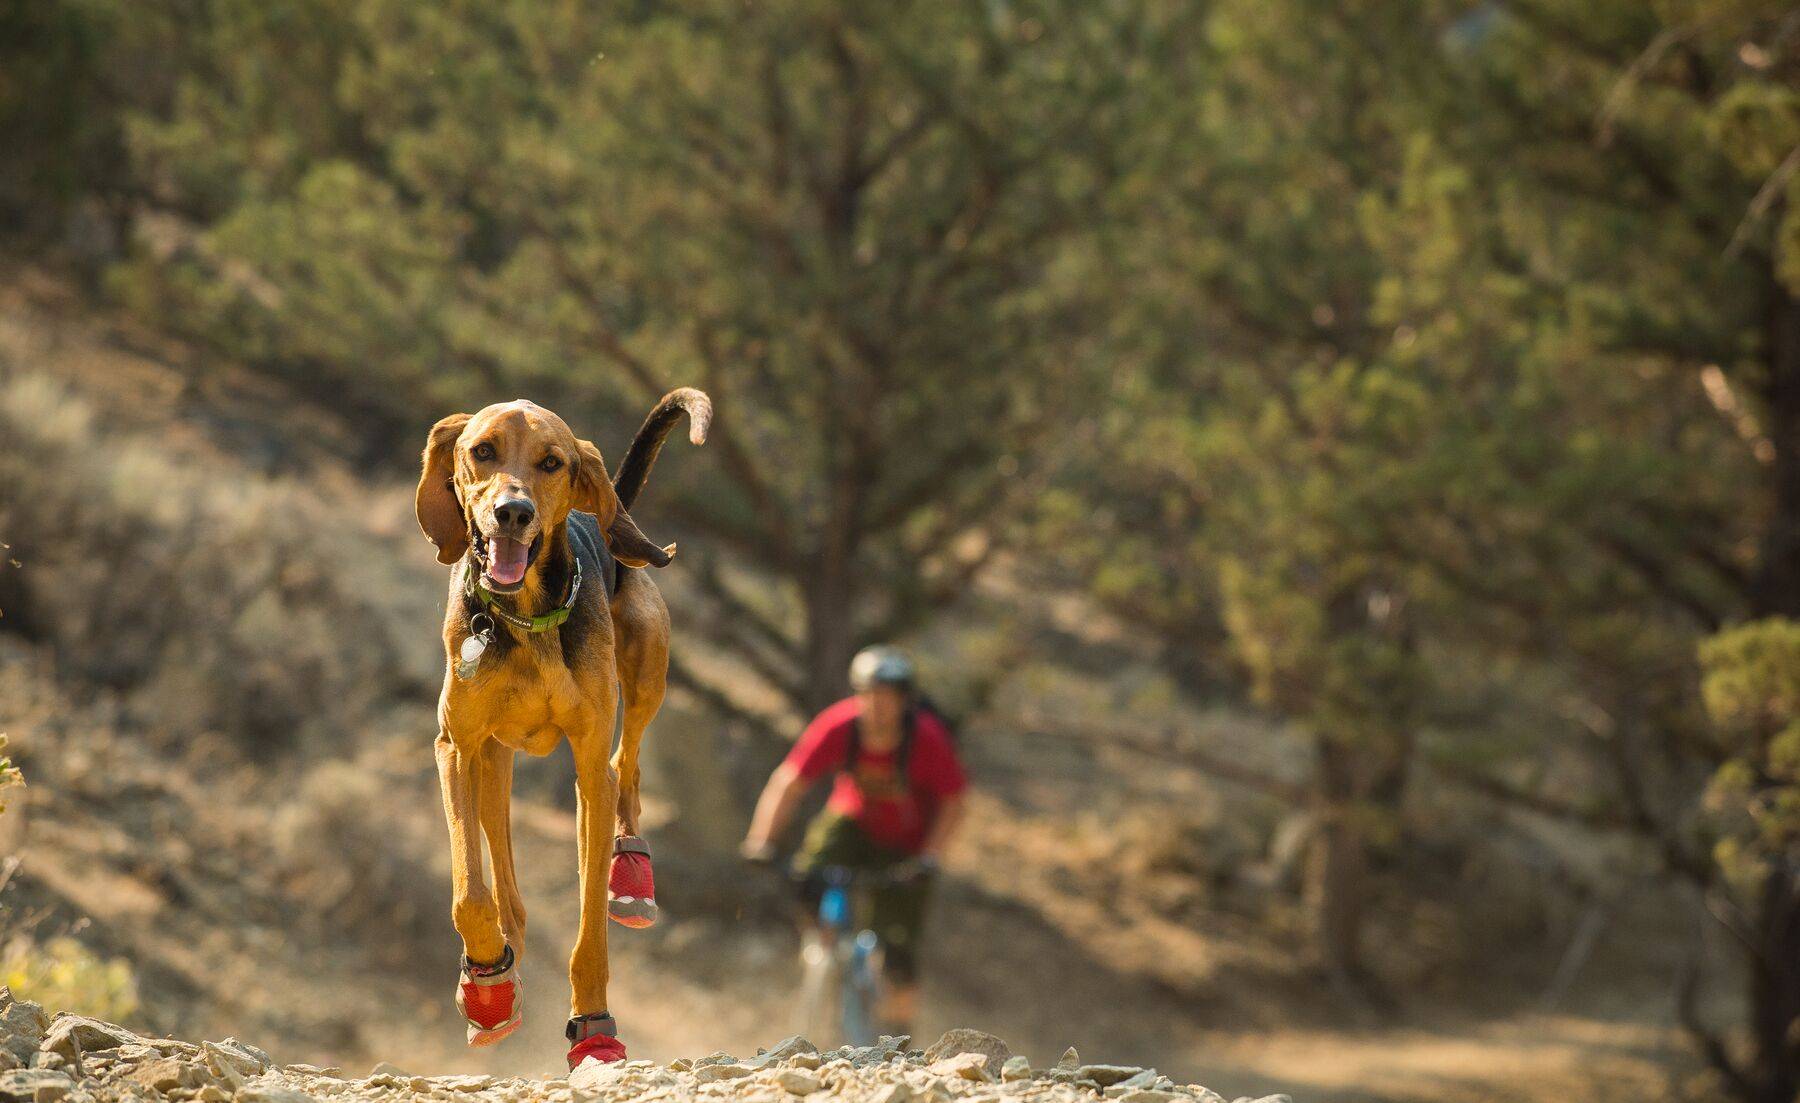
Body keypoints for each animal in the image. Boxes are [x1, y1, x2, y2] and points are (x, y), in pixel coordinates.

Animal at [414, 386, 709, 1065]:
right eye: (482, 450)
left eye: (552, 462)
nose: (513, 513)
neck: (524, 618)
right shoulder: (455, 747)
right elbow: (471, 893)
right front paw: (487, 982)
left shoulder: (587, 763)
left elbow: (589, 928)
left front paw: (594, 1025)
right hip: (493, 761)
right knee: (507, 886)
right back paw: (499, 968)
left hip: (646, 673)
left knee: (627, 768)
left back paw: (630, 870)